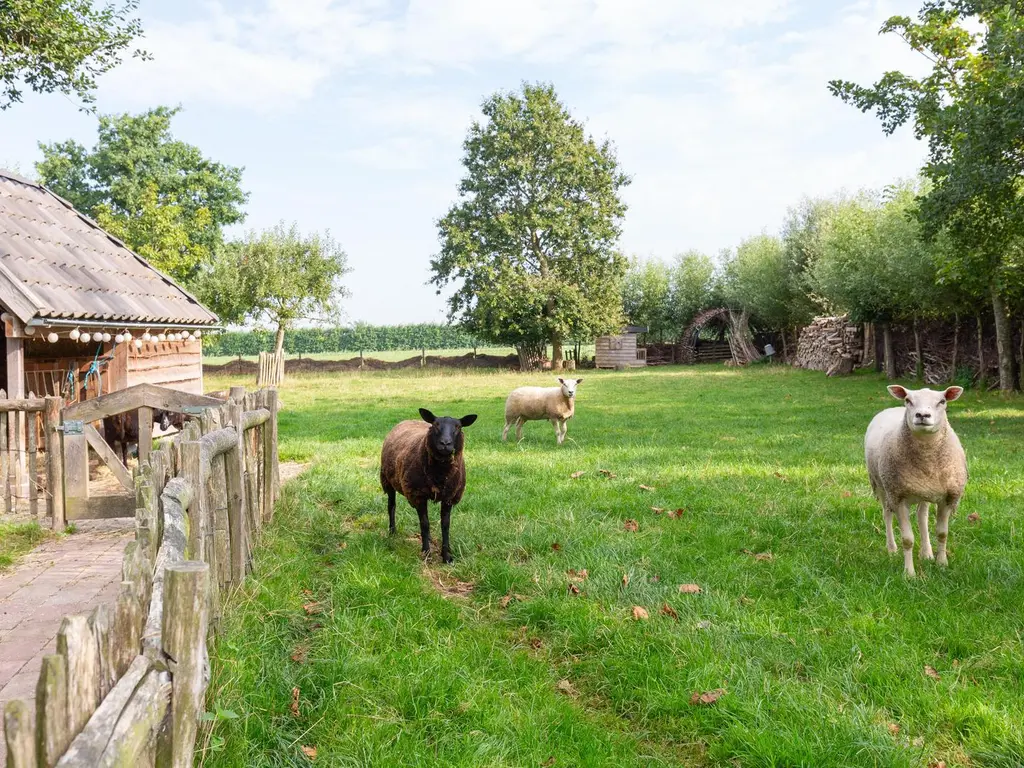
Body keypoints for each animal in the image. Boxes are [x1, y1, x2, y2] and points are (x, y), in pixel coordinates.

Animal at [864, 385, 966, 577]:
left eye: (942, 401)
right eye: (908, 400)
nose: (922, 415)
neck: (927, 457)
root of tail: (892, 408)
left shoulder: (948, 498)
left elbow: (942, 533)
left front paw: (942, 564)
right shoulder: (898, 497)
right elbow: (907, 539)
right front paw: (909, 573)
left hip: (924, 491)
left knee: (922, 517)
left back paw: (926, 553)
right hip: (882, 486)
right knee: (886, 514)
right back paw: (891, 549)